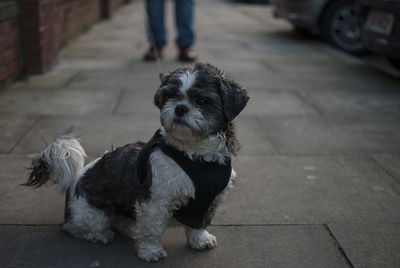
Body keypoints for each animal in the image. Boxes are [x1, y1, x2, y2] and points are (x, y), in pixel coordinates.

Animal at [26, 62, 248, 262]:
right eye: (170, 97)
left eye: (202, 100)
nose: (180, 108)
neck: (195, 155)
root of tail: (75, 178)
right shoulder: (156, 199)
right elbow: (152, 228)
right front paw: (150, 251)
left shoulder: (209, 201)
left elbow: (198, 224)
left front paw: (200, 240)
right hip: (91, 213)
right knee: (74, 227)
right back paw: (99, 235)